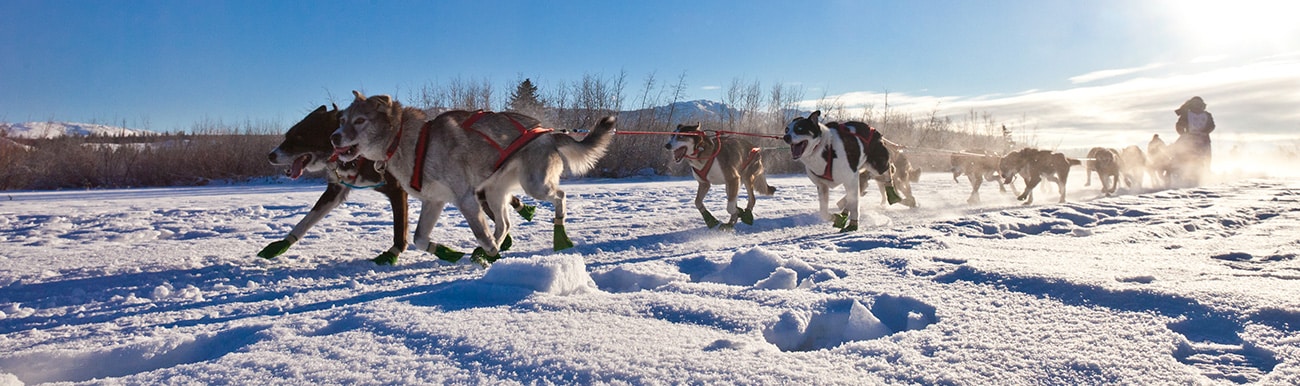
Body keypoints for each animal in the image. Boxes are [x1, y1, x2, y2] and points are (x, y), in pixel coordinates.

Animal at [261, 103, 408, 262]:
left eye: (299, 138)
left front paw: (393, 253)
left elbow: (400, 227)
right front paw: (282, 244)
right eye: (287, 135)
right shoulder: (336, 190)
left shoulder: (397, 190)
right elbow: (306, 220)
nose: (270, 156)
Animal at [330, 90, 613, 261]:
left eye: (360, 121)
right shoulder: (434, 201)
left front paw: (491, 256)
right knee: (504, 224)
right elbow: (420, 238)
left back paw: (559, 231)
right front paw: (447, 252)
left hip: (535, 185)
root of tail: (548, 132)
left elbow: (481, 233)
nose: (334, 137)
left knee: (560, 196)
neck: (413, 141)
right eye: (342, 120)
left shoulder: (465, 198)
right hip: (495, 192)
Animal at [780, 109, 915, 231]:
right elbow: (824, 212)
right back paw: (843, 214)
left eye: (800, 128)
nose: (786, 137)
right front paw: (835, 218)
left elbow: (854, 204)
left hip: (877, 166)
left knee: (890, 169)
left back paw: (893, 194)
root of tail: (874, 130)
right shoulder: (822, 185)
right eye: (787, 129)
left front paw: (853, 225)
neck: (824, 149)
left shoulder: (850, 179)